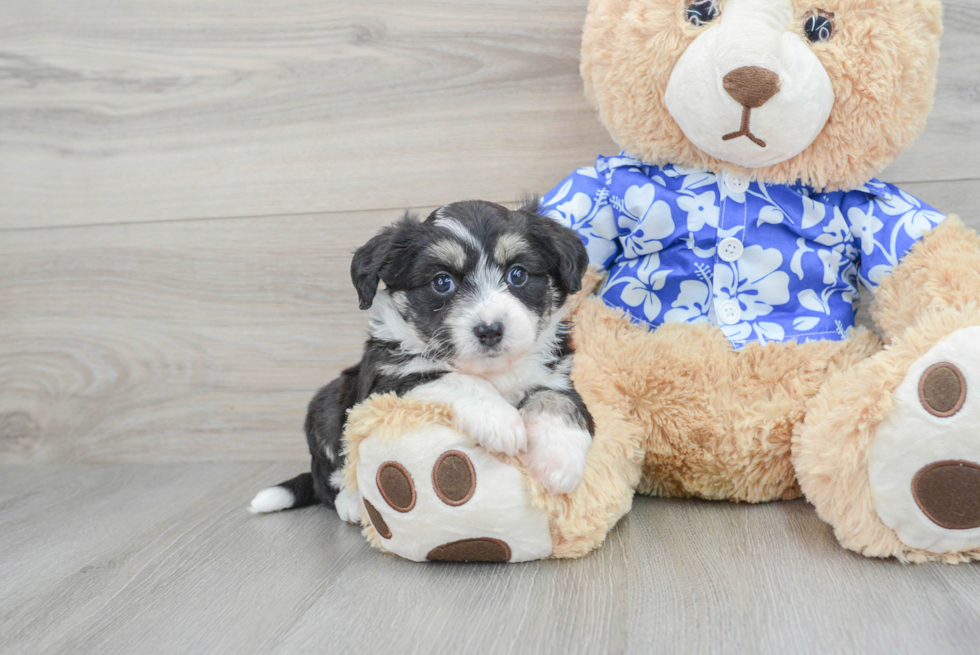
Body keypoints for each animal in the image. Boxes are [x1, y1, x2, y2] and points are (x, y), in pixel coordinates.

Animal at [249, 200, 592, 524]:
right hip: (326, 405)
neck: (492, 371)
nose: (490, 330)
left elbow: (557, 401)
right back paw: (351, 503)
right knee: (328, 479)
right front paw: (500, 420)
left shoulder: (556, 374)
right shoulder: (389, 378)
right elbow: (453, 378)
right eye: (442, 282)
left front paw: (560, 460)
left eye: (518, 274)